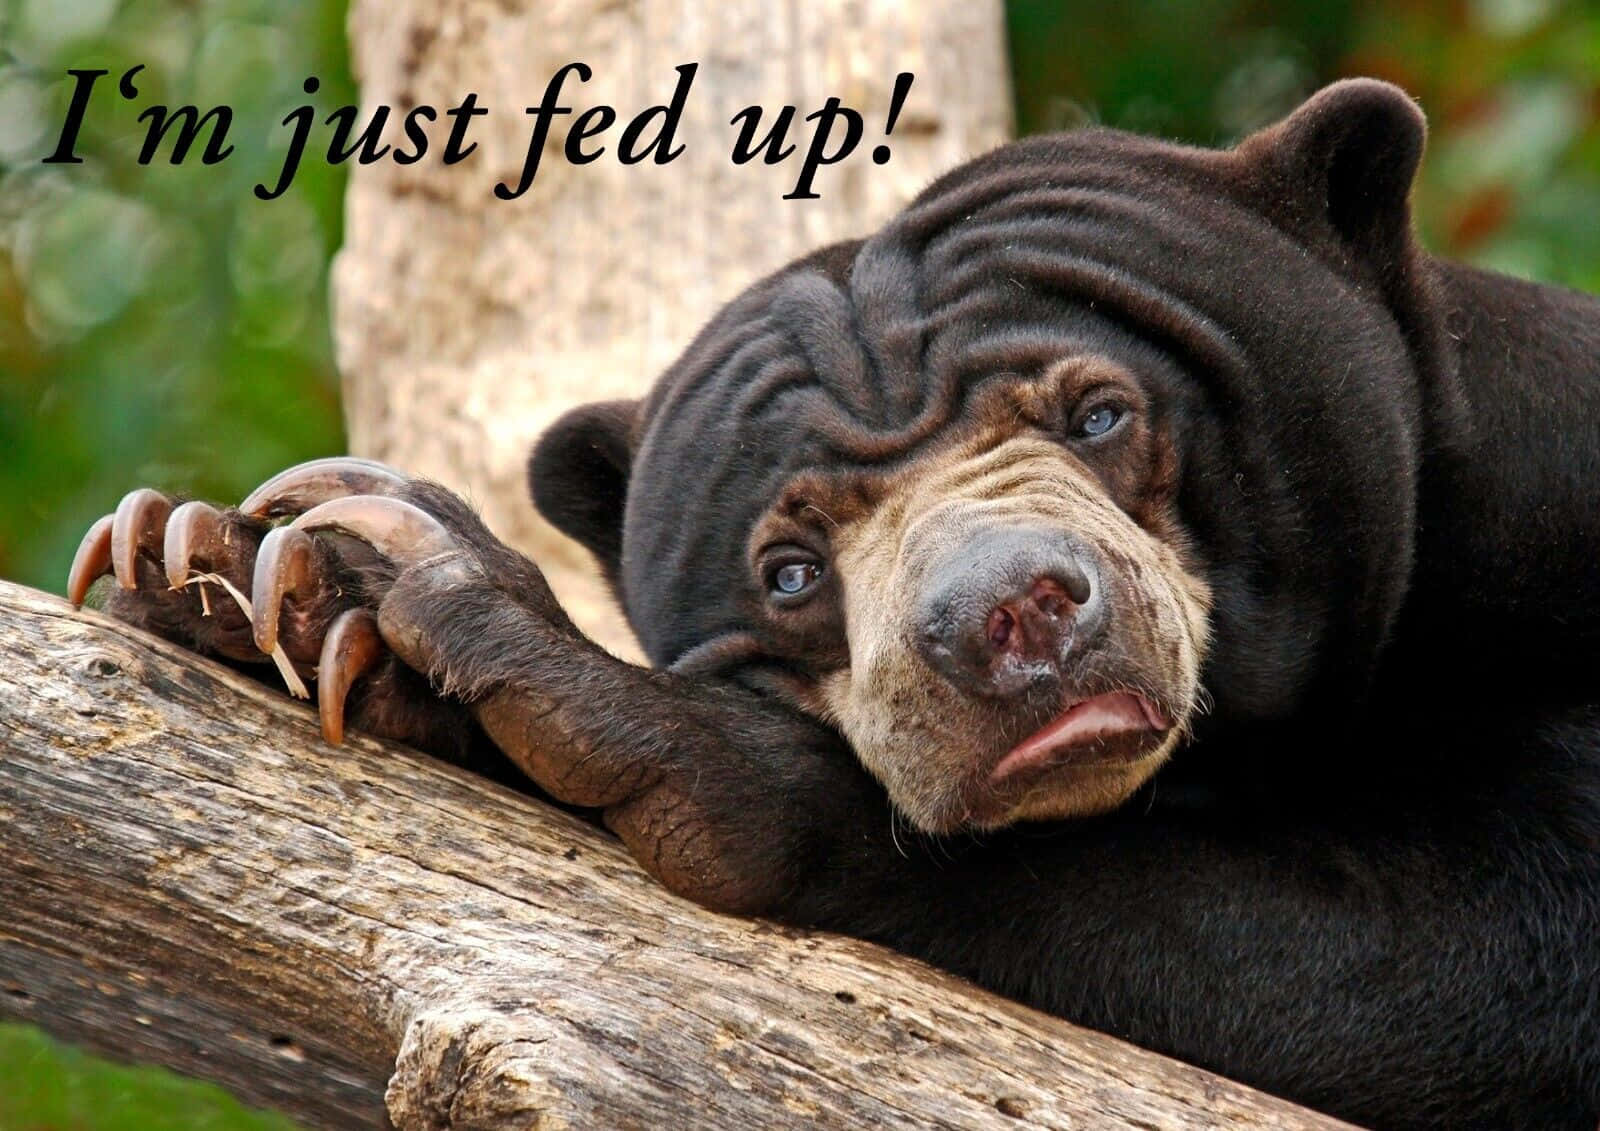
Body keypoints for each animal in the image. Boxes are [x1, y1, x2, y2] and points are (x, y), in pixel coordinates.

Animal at [69, 80, 1600, 1129]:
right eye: (789, 570)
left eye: (1102, 412)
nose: (1011, 615)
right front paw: (249, 576)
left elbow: (1487, 973)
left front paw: (583, 693)